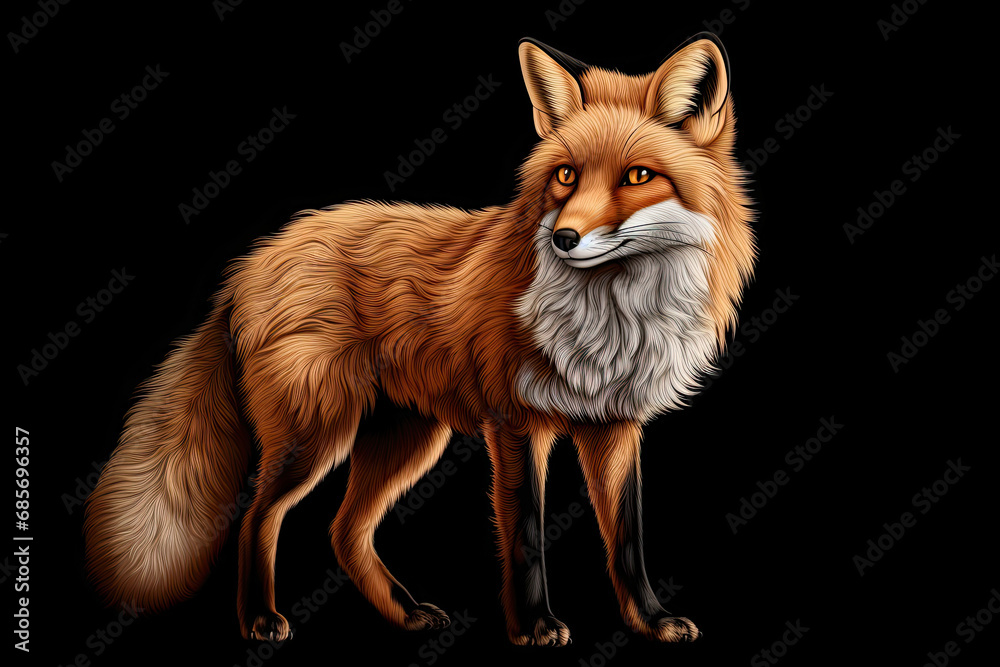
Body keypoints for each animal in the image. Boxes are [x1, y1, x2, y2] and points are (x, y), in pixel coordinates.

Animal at [84, 33, 756, 646]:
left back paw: (405, 613)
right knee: (256, 516)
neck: (610, 321)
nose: (564, 237)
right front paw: (535, 626)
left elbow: (627, 539)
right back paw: (259, 620)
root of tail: (248, 264)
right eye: (566, 176)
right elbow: (526, 535)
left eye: (638, 176)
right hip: (317, 434)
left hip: (406, 439)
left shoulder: (614, 425)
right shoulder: (514, 422)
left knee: (344, 531)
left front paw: (652, 621)